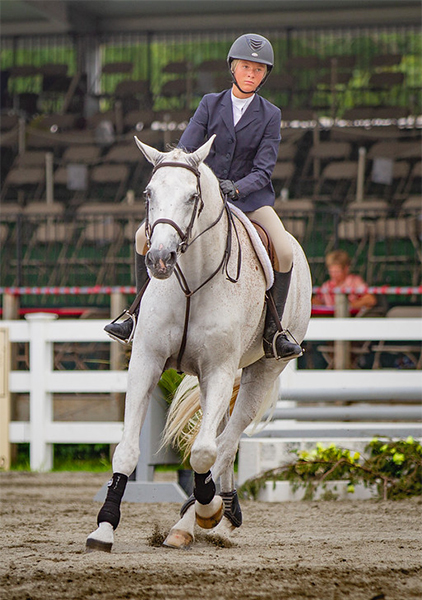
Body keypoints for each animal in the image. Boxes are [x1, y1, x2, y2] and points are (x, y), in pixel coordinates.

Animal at [85, 136, 312, 552]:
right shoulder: (146, 360)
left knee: (226, 440)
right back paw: (224, 512)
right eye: (149, 193)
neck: (190, 281)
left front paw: (206, 510)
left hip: (263, 370)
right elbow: (126, 450)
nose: (160, 259)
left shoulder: (221, 369)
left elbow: (205, 451)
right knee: (220, 436)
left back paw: (201, 519)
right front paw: (104, 527)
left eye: (193, 196)